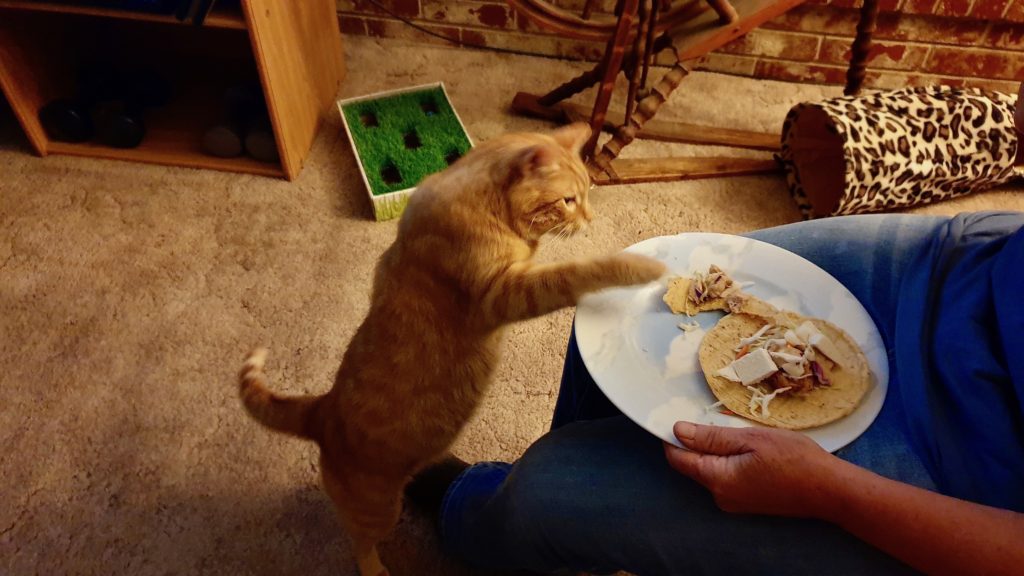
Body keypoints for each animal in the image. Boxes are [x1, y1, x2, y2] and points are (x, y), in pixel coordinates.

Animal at [235, 121, 663, 573]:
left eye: (586, 195)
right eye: (569, 200)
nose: (590, 219)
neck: (491, 211)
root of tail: (321, 409)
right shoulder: (502, 295)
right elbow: (572, 273)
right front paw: (639, 266)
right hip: (378, 509)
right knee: (359, 543)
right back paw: (376, 568)